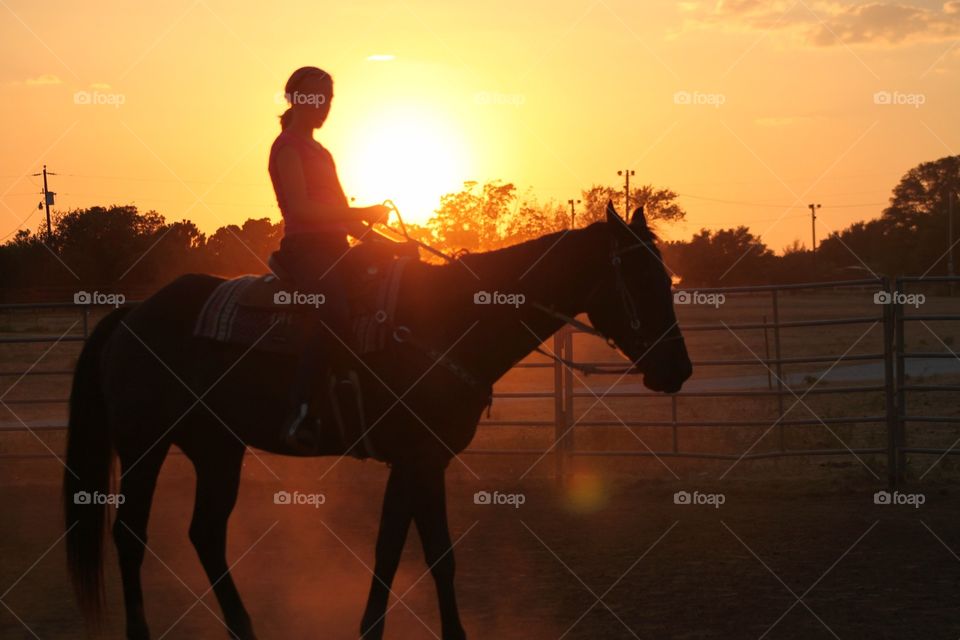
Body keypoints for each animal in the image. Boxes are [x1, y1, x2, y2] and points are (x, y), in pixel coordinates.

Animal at [62, 202, 688, 636]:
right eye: (642, 280)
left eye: (668, 277)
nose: (678, 368)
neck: (449, 320)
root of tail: (132, 314)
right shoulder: (415, 460)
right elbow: (412, 553)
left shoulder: (424, 462)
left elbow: (419, 553)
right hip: (145, 445)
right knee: (131, 534)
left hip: (217, 447)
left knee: (206, 533)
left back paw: (245, 627)